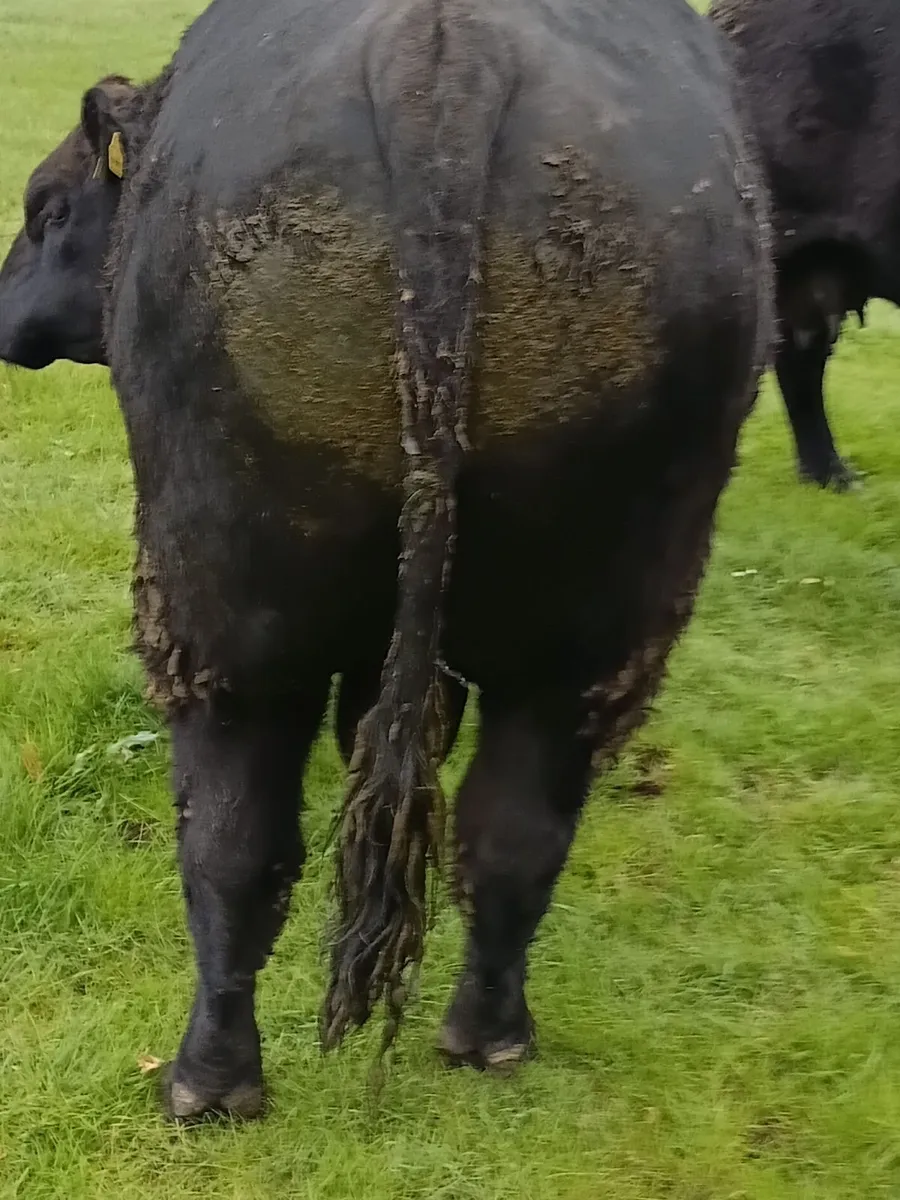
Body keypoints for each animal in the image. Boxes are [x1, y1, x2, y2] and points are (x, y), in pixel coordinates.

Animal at [0, 0, 770, 1122]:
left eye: (47, 209)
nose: (1, 319)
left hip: (221, 618)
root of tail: (444, 55)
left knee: (232, 840)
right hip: (593, 617)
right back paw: (487, 1037)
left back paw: (207, 1083)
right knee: (515, 828)